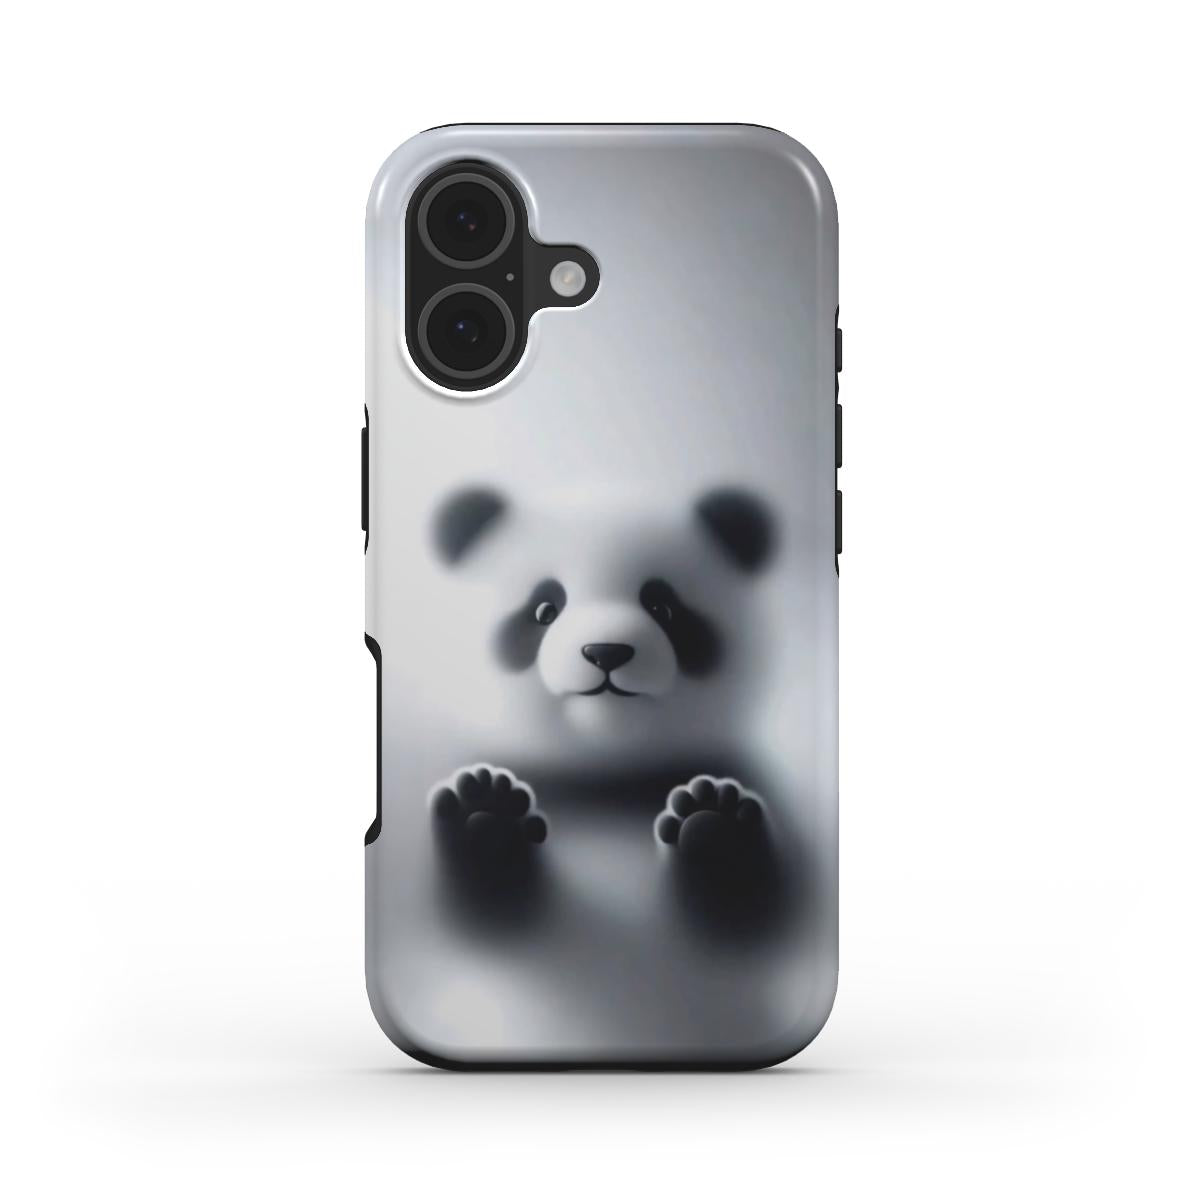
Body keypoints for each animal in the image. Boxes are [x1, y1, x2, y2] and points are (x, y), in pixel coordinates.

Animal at [424, 483, 797, 934]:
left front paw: (715, 821)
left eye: (664, 608)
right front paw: (485, 809)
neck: (604, 774)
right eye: (544, 610)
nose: (605, 652)